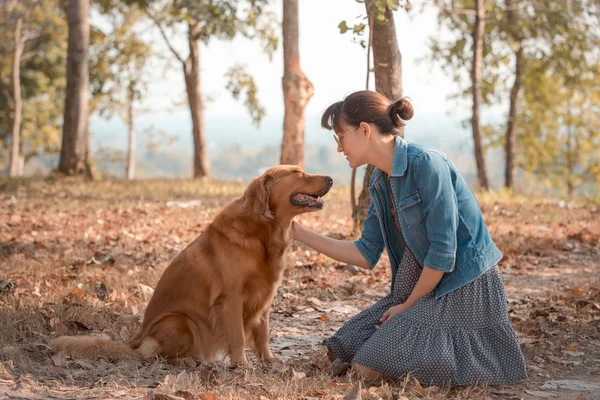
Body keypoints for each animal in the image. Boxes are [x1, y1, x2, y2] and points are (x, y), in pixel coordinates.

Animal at [50, 165, 332, 366]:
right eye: (296, 173)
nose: (330, 178)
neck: (264, 231)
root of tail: (134, 339)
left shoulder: (264, 295)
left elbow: (262, 334)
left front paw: (270, 361)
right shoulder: (231, 298)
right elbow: (238, 336)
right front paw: (241, 365)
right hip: (180, 321)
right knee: (150, 351)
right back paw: (189, 360)